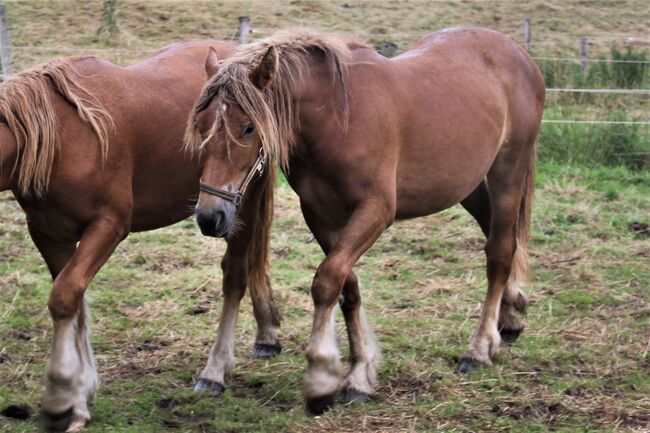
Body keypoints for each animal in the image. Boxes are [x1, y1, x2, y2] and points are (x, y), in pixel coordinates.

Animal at [1, 39, 282, 428]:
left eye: (247, 129)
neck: (63, 134)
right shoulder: (49, 234)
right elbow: (74, 304)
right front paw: (80, 396)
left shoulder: (108, 226)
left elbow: (64, 299)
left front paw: (61, 399)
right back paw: (267, 334)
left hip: (241, 206)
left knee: (237, 272)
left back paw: (215, 371)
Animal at [186, 28, 540, 414]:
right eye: (201, 126)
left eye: (248, 128)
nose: (210, 216)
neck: (337, 119)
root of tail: (517, 52)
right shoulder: (321, 215)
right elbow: (347, 287)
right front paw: (360, 374)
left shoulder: (375, 210)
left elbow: (327, 280)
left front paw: (322, 376)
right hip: (467, 184)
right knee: (498, 236)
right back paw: (509, 318)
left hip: (509, 169)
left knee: (500, 251)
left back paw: (479, 349)